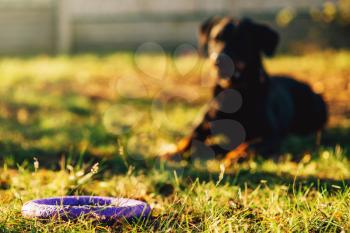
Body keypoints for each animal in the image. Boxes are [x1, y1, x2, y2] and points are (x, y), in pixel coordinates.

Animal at [163, 16, 326, 166]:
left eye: (240, 40)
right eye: (214, 39)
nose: (217, 61)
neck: (233, 94)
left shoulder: (269, 135)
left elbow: (249, 145)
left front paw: (234, 156)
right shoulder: (203, 125)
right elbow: (188, 138)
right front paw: (175, 152)